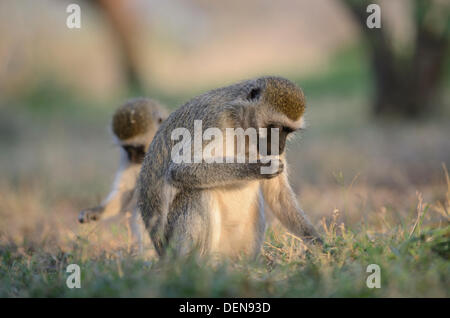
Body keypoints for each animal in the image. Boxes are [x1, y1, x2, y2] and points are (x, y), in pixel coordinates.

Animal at [138, 77, 324, 258]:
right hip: (174, 245)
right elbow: (180, 170)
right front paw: (256, 167)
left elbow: (278, 195)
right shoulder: (213, 119)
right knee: (199, 194)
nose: (280, 147)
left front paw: (320, 244)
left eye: (287, 131)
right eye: (276, 128)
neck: (240, 124)